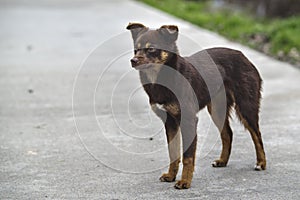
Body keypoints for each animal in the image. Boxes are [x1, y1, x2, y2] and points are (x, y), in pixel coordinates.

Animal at [125, 22, 266, 189]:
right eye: (136, 48)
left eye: (151, 48)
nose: (133, 60)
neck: (162, 79)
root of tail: (243, 56)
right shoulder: (170, 122)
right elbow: (173, 153)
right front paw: (171, 176)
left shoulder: (188, 120)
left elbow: (187, 156)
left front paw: (185, 182)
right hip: (217, 109)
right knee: (228, 134)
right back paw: (222, 161)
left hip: (246, 106)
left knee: (257, 135)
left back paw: (261, 163)